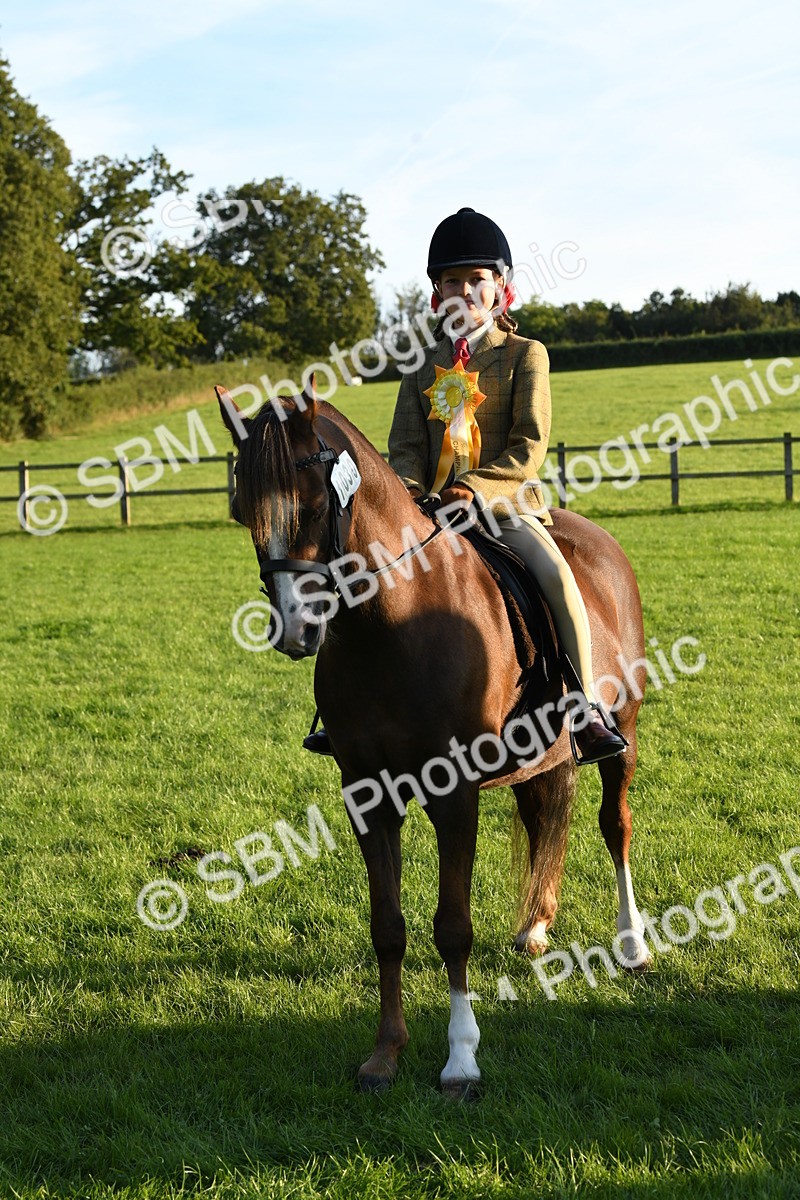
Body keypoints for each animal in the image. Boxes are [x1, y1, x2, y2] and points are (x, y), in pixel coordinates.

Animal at [217, 381, 651, 1098]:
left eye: (316, 505)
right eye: (242, 510)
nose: (295, 631)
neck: (392, 623)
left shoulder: (454, 794)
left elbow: (452, 927)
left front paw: (460, 1060)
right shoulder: (367, 795)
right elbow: (387, 927)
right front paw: (385, 1054)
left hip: (628, 731)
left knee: (615, 826)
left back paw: (634, 944)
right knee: (545, 818)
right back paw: (536, 927)